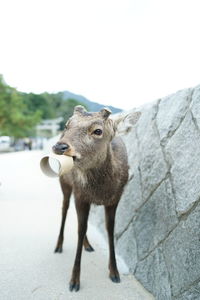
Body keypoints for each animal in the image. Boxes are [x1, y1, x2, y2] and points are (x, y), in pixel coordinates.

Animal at [52, 105, 141, 290]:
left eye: (98, 131)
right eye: (67, 125)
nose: (60, 146)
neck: (101, 191)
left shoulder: (115, 199)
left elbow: (109, 230)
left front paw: (114, 272)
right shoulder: (80, 195)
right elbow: (80, 230)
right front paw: (74, 281)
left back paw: (88, 245)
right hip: (64, 183)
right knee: (64, 209)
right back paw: (58, 246)